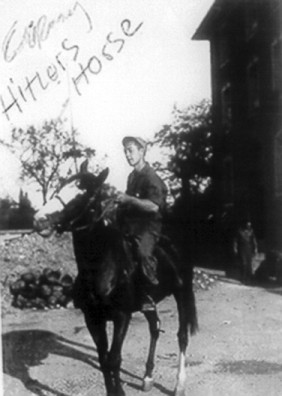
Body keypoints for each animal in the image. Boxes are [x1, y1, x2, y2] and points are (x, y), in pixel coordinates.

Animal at [33, 162, 198, 394]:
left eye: (83, 195)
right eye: (60, 186)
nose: (39, 220)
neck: (101, 268)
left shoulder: (122, 316)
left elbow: (114, 359)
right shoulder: (93, 318)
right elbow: (104, 360)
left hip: (182, 293)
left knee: (182, 336)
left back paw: (179, 384)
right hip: (149, 304)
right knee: (154, 328)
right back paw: (147, 378)